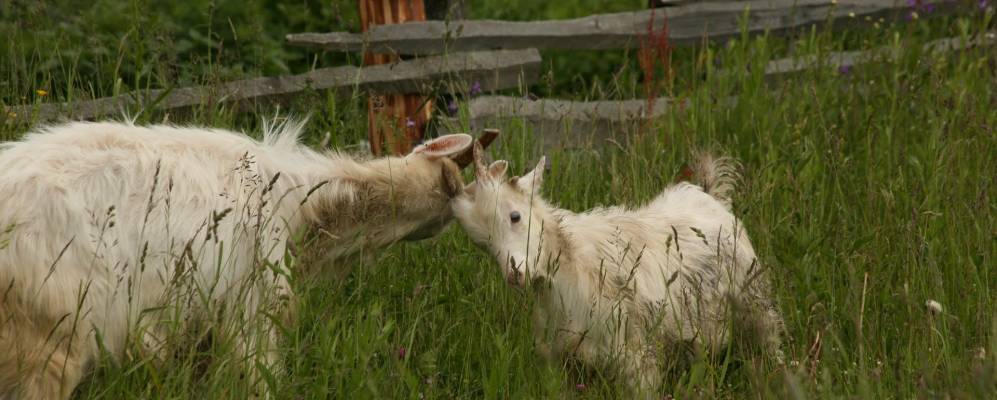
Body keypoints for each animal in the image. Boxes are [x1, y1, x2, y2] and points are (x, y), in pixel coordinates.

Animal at [452, 145, 784, 392]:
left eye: (515, 216)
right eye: (482, 242)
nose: (515, 274)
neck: (571, 263)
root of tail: (709, 195)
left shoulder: (636, 355)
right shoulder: (564, 357)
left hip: (752, 298)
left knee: (770, 338)